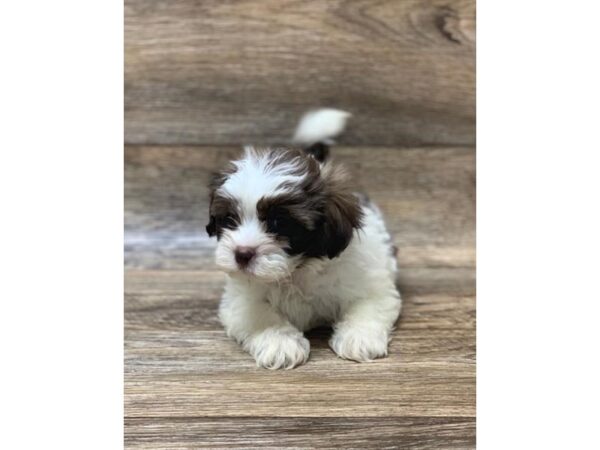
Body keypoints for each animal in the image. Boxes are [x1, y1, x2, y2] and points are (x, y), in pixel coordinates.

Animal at [207, 109, 404, 370]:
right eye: (229, 220)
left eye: (279, 223)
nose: (242, 253)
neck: (296, 271)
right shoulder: (240, 299)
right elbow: (258, 313)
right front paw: (280, 343)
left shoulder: (369, 282)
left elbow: (368, 304)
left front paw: (359, 338)